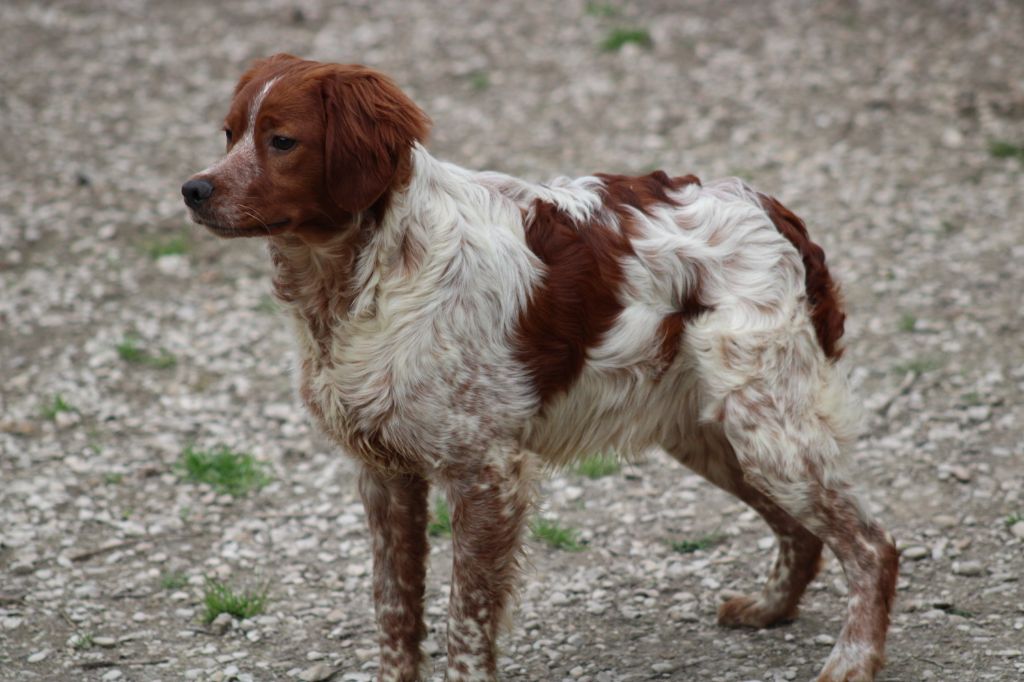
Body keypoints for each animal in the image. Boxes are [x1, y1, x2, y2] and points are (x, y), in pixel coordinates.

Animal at [182, 54, 897, 679]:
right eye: (228, 133)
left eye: (282, 140)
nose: (193, 189)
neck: (364, 274)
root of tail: (771, 208)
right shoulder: (384, 474)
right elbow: (394, 610)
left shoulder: (485, 473)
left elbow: (464, 623)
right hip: (715, 435)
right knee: (806, 534)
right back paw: (770, 609)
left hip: (769, 431)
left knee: (873, 547)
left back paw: (851, 661)